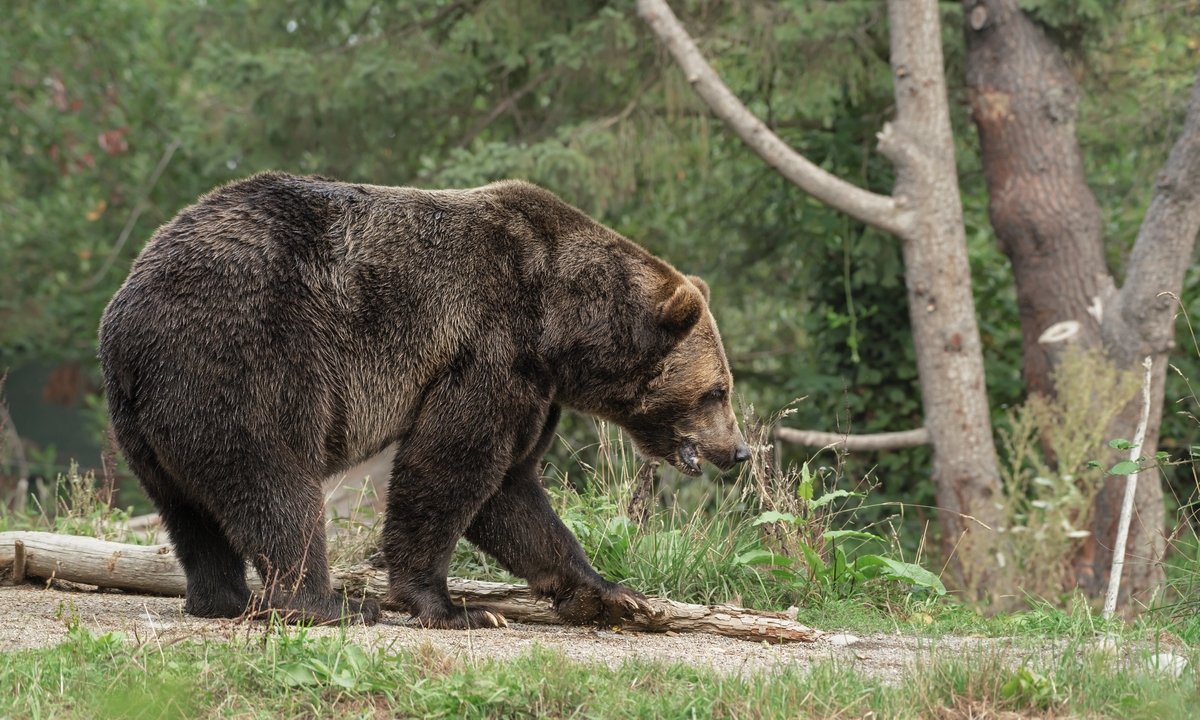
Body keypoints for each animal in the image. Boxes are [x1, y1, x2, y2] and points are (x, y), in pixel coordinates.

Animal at [98, 171, 744, 628]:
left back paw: (221, 598)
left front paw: (612, 593)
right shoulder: (490, 346)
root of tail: (128, 311)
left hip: (144, 417)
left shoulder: (535, 385)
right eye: (718, 391)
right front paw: (455, 607)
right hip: (246, 356)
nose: (738, 451)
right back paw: (327, 604)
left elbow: (511, 490)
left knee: (188, 509)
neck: (561, 325)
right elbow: (451, 466)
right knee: (274, 481)